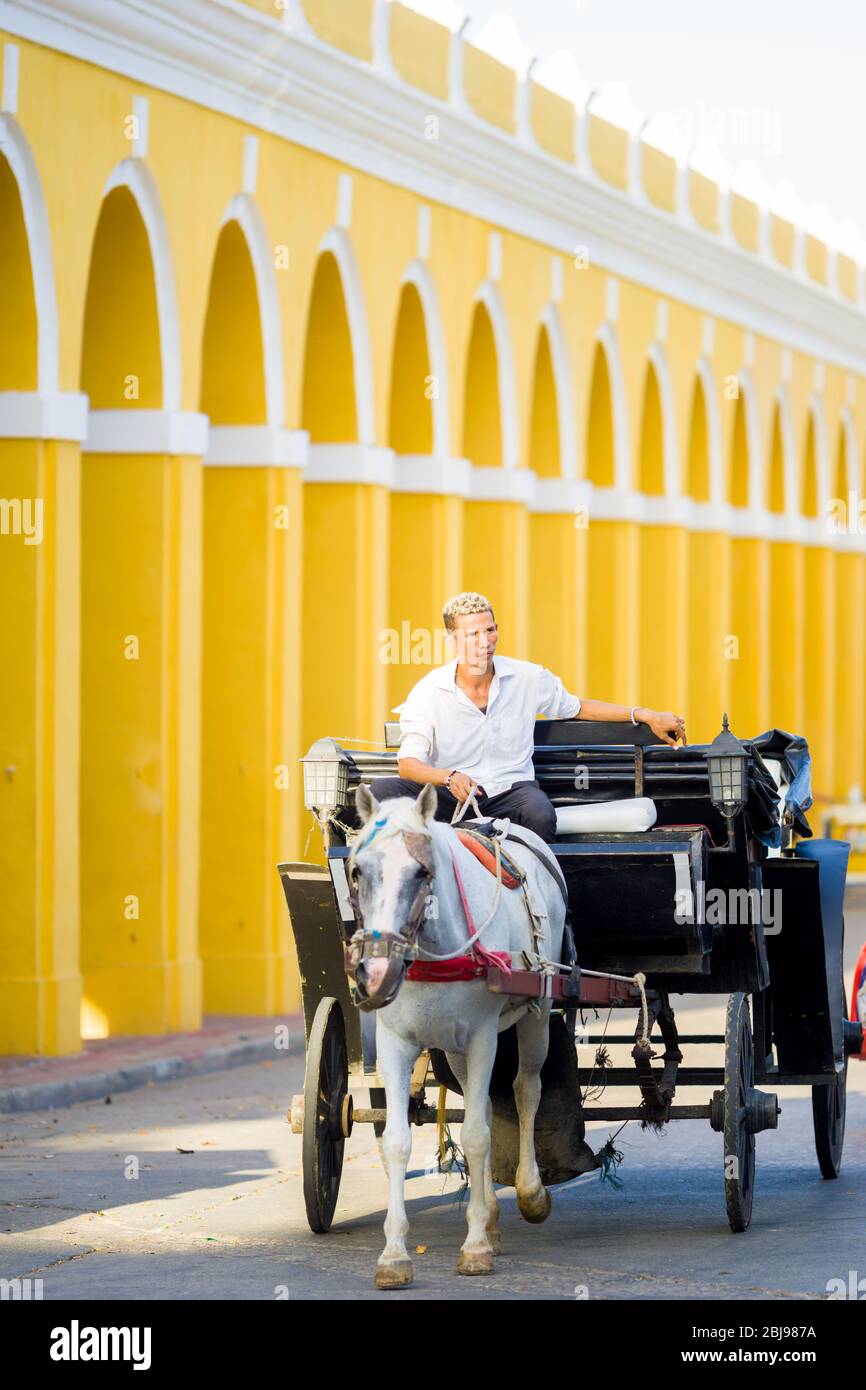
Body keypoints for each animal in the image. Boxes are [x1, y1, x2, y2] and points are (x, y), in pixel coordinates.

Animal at [347, 789, 569, 1284]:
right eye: (357, 872)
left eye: (421, 872)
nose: (376, 974)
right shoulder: (394, 1042)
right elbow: (398, 1140)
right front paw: (394, 1255)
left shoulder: (485, 1034)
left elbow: (478, 1136)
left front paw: (475, 1248)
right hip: (454, 1048)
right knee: (480, 1103)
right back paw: (491, 1218)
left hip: (536, 1013)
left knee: (526, 1090)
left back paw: (529, 1194)